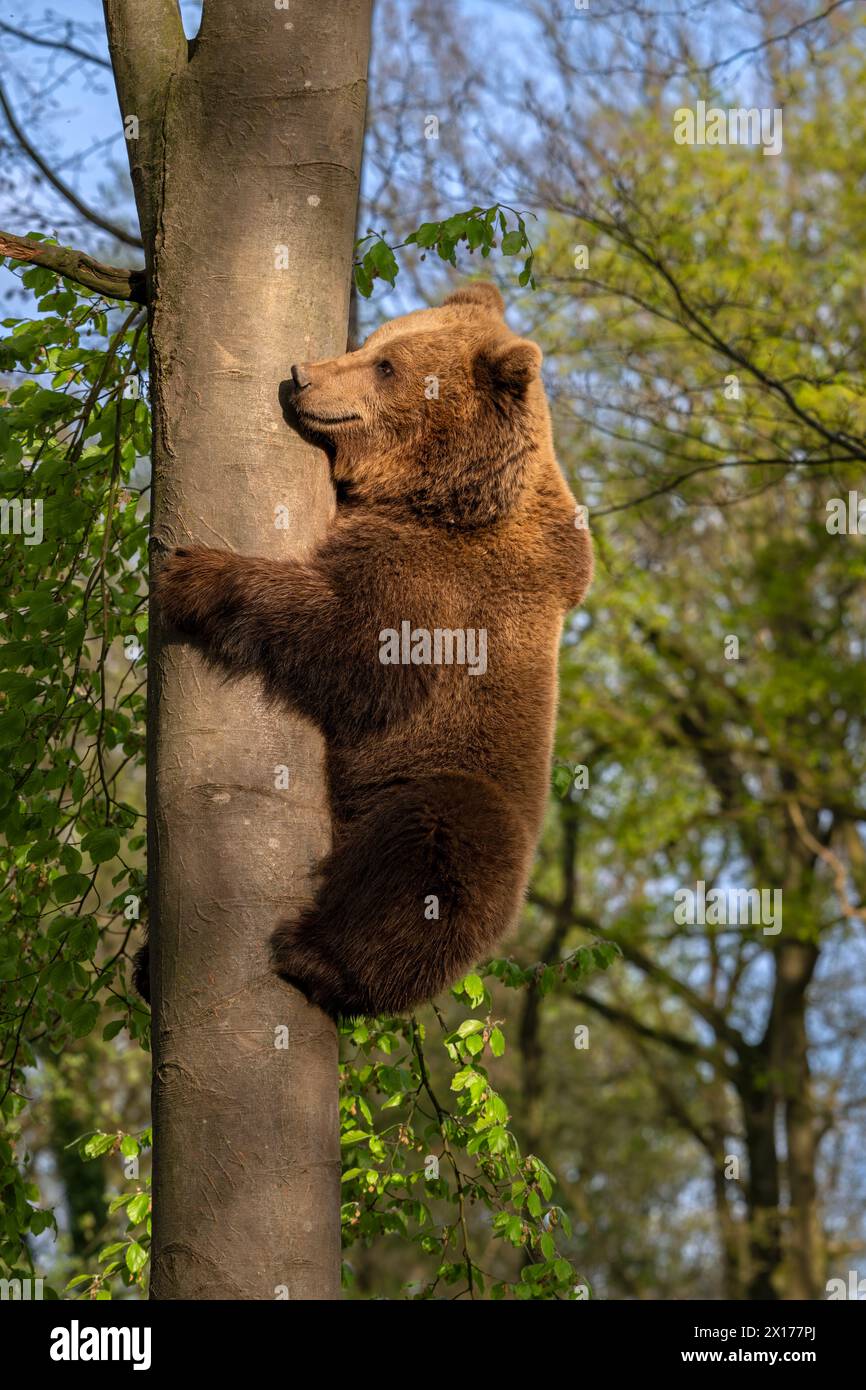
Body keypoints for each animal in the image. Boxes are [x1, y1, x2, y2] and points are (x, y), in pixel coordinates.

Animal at [148, 282, 592, 1020]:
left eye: (387, 366)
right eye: (372, 341)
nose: (302, 375)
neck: (443, 497)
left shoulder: (448, 584)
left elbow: (360, 646)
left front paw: (196, 573)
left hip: (450, 790)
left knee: (435, 854)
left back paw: (318, 957)